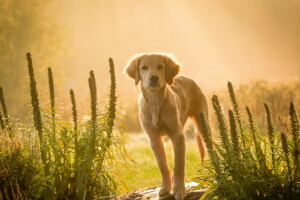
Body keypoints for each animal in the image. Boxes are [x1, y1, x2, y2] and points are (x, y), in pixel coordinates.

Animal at [123, 52, 209, 199]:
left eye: (160, 67)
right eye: (144, 67)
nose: (153, 78)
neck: (155, 102)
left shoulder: (177, 136)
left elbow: (178, 165)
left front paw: (179, 190)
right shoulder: (154, 138)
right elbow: (163, 165)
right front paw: (166, 188)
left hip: (203, 125)